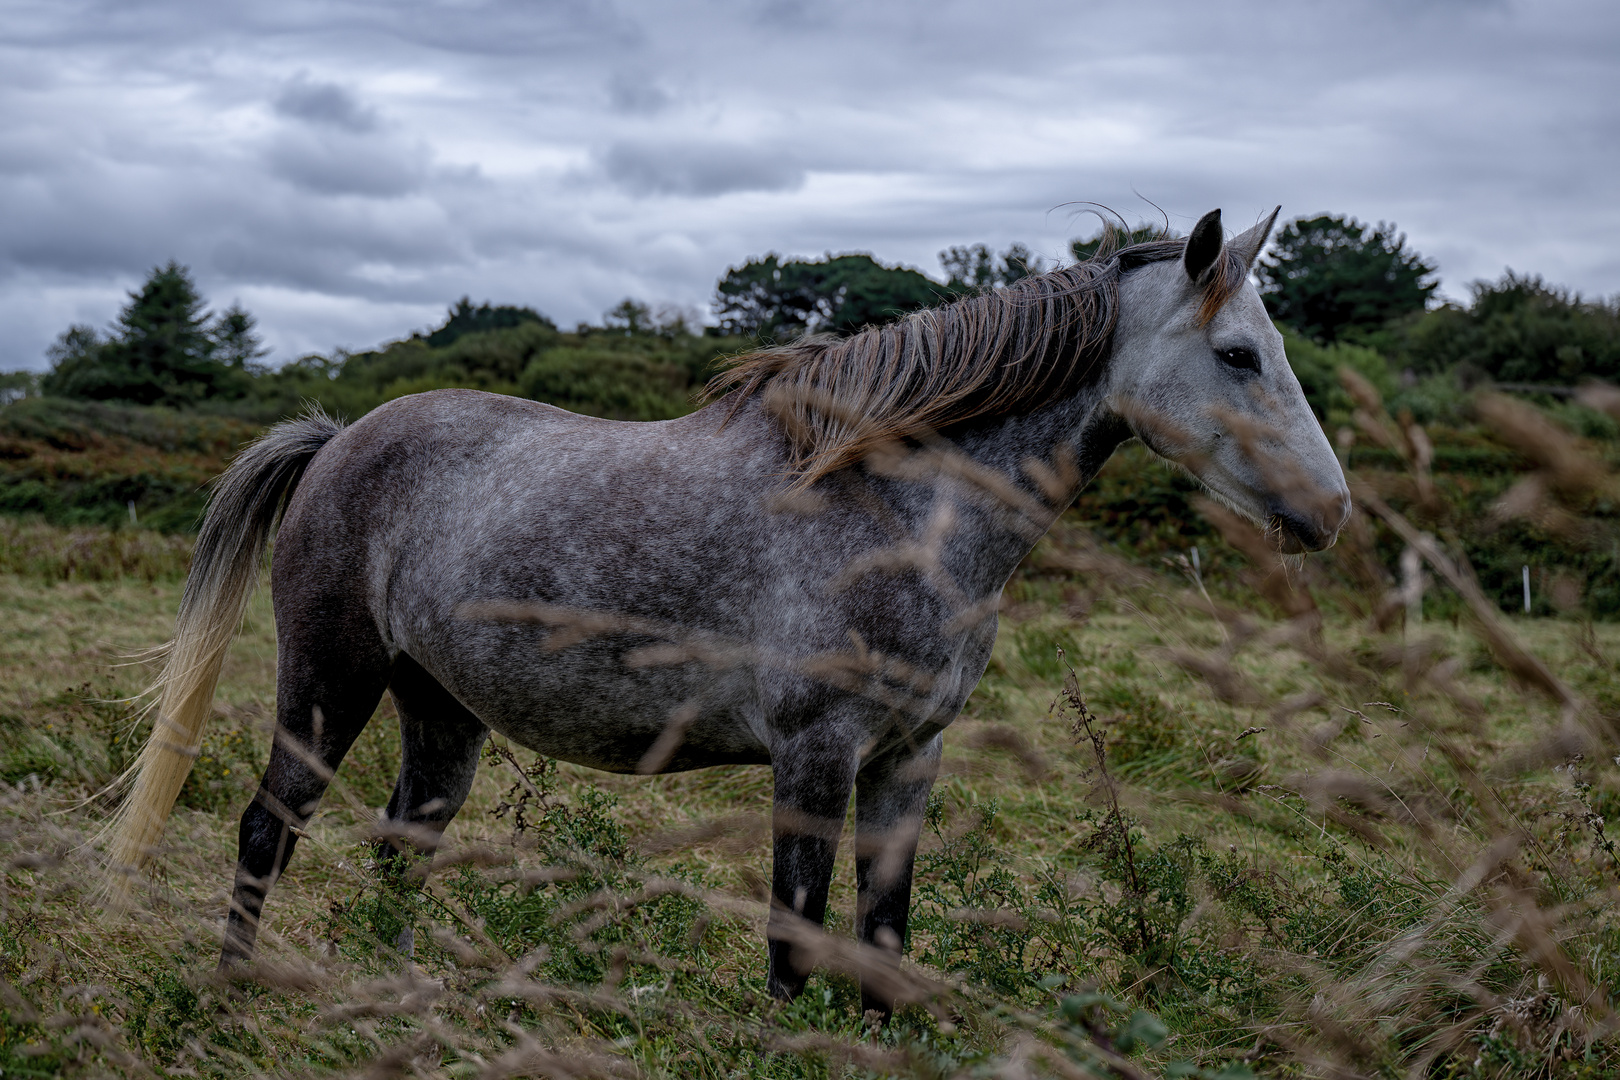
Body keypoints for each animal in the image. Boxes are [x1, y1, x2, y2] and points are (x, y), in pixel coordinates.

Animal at [98, 207, 1341, 1016]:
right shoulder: (816, 754)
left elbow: (883, 940)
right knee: (269, 829)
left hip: (442, 711)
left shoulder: (911, 759)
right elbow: (796, 943)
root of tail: (339, 439)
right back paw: (232, 997)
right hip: (328, 680)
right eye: (1238, 353)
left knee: (404, 850)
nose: (1328, 511)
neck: (894, 505)